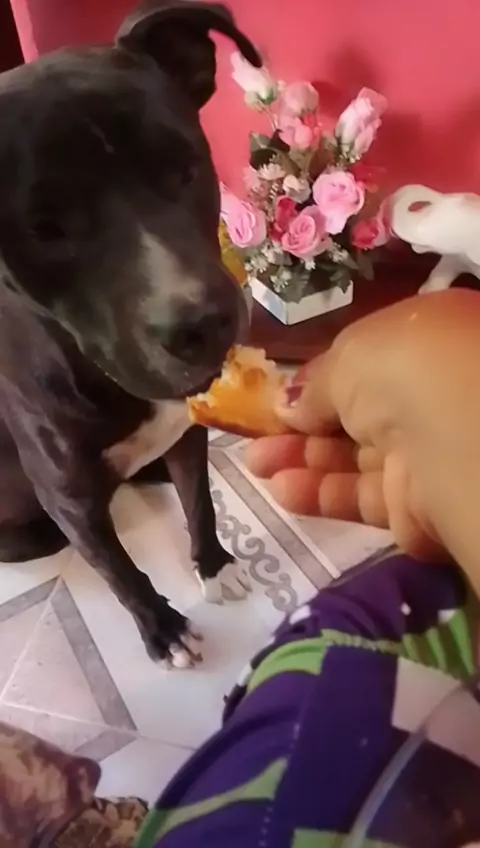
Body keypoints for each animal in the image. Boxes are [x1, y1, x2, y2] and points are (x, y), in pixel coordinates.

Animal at [0, 0, 261, 667]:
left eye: (186, 168)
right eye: (42, 228)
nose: (202, 325)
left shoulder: (187, 429)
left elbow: (200, 501)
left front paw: (213, 565)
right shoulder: (67, 496)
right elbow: (119, 570)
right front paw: (162, 628)